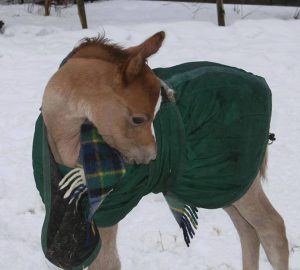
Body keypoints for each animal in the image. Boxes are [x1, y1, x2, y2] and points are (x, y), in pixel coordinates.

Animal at [41, 31, 288, 268]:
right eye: (138, 119)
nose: (152, 156)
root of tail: (259, 82)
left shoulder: (105, 212)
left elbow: (107, 262)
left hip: (236, 176)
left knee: (271, 228)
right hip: (220, 185)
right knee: (247, 229)